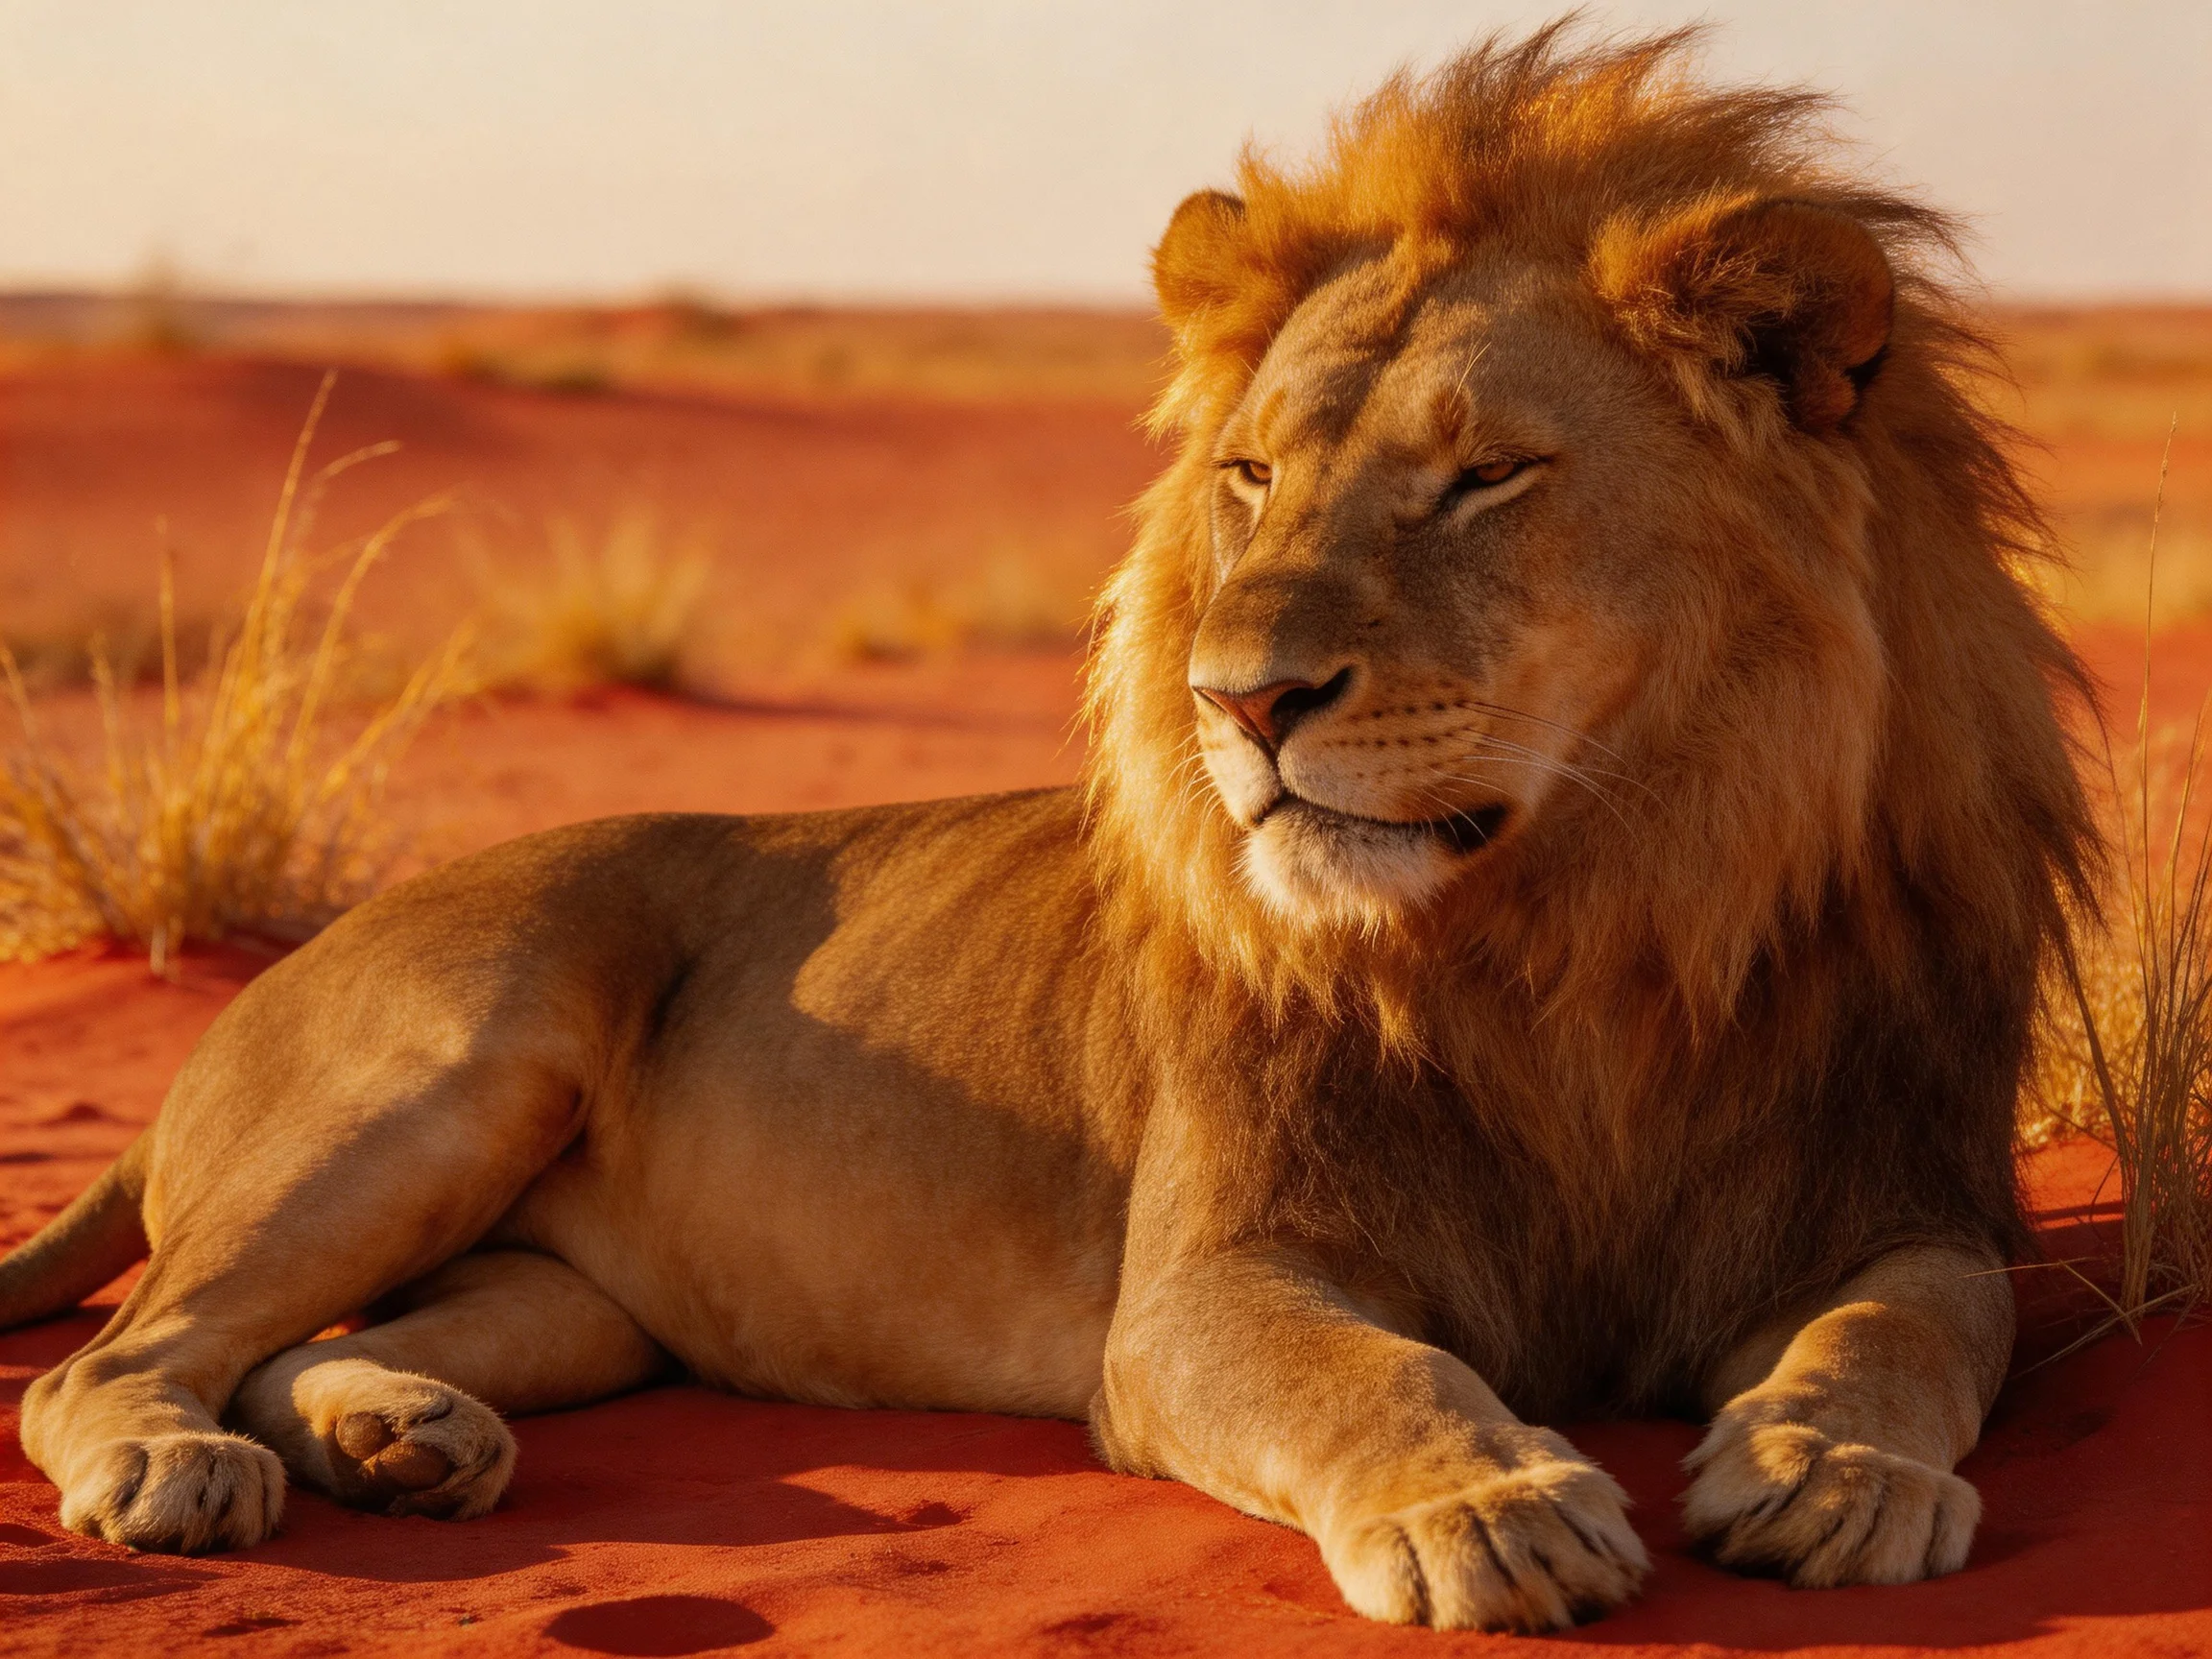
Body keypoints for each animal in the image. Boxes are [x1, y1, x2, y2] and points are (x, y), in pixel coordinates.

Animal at [0, 25, 2092, 1634]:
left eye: (1486, 476)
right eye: (1249, 477)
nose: (1239, 701)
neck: (1586, 927)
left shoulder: (1899, 1201)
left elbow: (1909, 1327)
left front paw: (1827, 1468)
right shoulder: (1199, 1292)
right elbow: (1372, 1372)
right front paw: (1487, 1505)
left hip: (567, 1307)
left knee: (307, 1344)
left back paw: (396, 1436)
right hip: (451, 1058)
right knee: (121, 1354)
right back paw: (180, 1467)